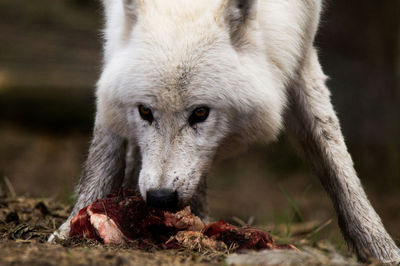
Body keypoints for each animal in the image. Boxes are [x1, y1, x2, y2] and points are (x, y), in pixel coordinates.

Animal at [50, 0, 400, 262]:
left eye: (200, 113)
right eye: (145, 112)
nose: (161, 198)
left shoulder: (300, 47)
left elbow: (335, 158)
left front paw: (381, 248)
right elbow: (103, 150)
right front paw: (75, 222)